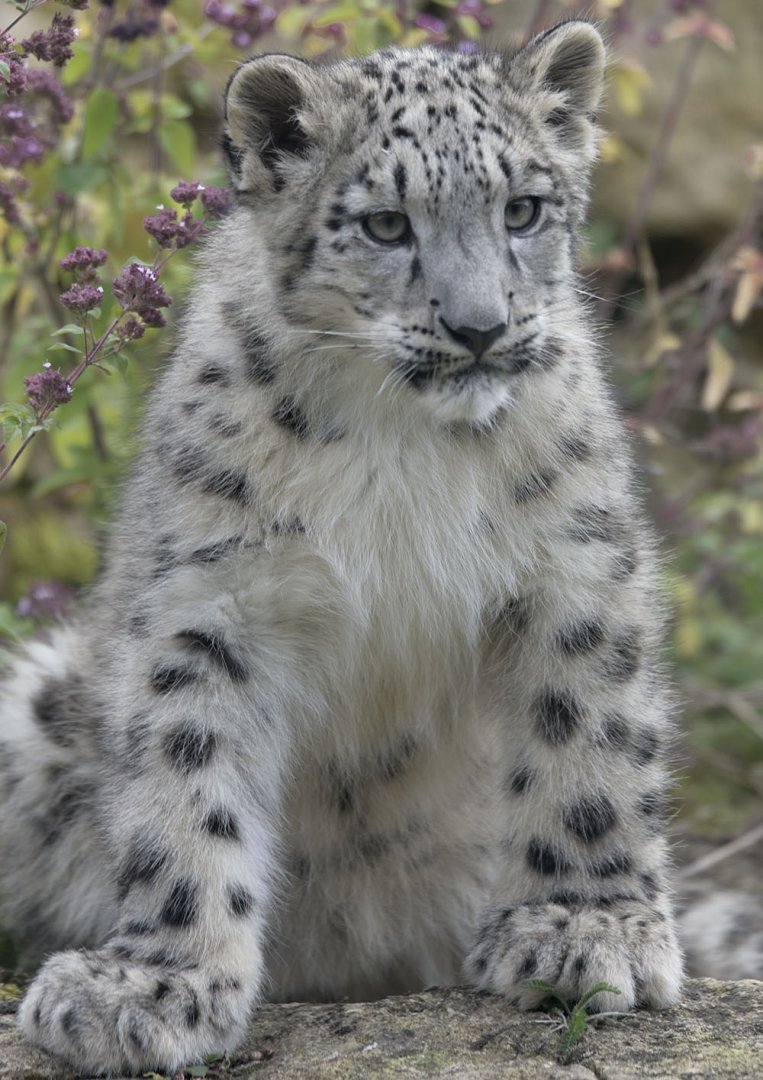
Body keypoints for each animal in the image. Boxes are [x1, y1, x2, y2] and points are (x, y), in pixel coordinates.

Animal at [0, 21, 692, 1074]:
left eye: (524, 209)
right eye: (385, 225)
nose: (479, 327)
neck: (401, 440)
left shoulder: (572, 564)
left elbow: (589, 738)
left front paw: (585, 927)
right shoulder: (212, 600)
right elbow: (184, 785)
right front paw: (154, 985)